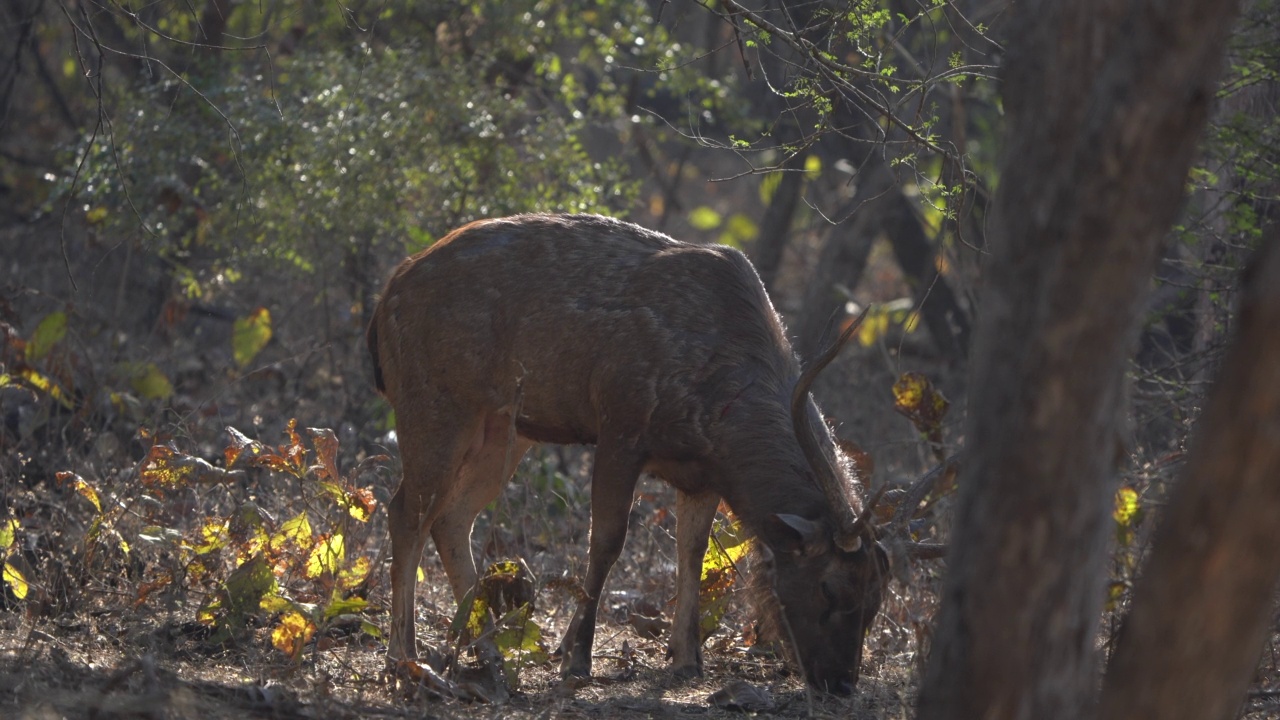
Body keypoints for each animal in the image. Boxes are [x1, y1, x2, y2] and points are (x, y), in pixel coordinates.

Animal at [371, 212, 906, 691]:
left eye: (876, 599)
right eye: (828, 587)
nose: (842, 683)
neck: (717, 418)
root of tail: (386, 295)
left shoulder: (700, 474)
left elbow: (691, 552)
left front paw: (687, 659)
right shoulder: (620, 424)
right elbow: (607, 541)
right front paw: (576, 658)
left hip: (504, 428)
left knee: (451, 518)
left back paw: (487, 652)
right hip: (435, 403)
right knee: (405, 512)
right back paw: (405, 658)